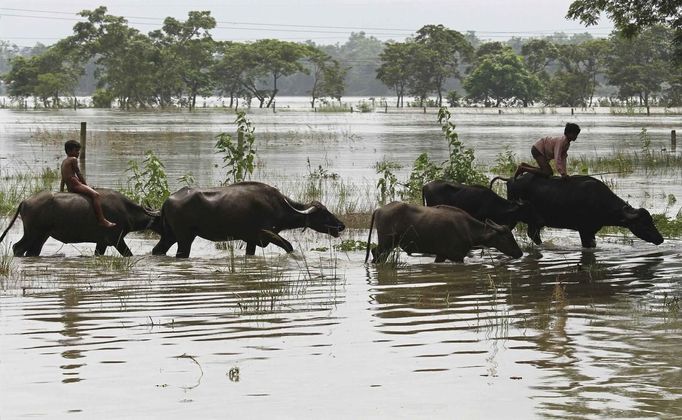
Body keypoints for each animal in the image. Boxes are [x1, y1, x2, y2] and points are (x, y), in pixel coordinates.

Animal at [0, 189, 162, 256]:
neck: (126, 210)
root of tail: (25, 201)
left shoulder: (102, 242)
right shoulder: (117, 239)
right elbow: (129, 254)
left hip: (41, 235)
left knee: (32, 251)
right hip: (33, 233)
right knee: (18, 248)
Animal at [153, 182, 346, 258]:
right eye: (324, 213)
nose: (341, 225)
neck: (279, 206)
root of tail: (168, 200)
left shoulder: (252, 241)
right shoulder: (266, 234)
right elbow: (289, 246)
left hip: (170, 236)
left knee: (157, 250)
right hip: (185, 238)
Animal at [364, 200, 524, 262]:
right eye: (507, 237)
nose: (520, 253)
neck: (468, 229)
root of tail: (378, 210)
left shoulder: (441, 255)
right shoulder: (457, 257)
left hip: (390, 244)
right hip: (386, 242)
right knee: (375, 252)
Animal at [494, 172, 664, 248]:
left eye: (652, 221)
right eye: (644, 223)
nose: (660, 238)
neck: (600, 202)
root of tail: (511, 179)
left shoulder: (592, 231)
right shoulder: (584, 230)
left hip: (534, 221)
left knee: (533, 234)